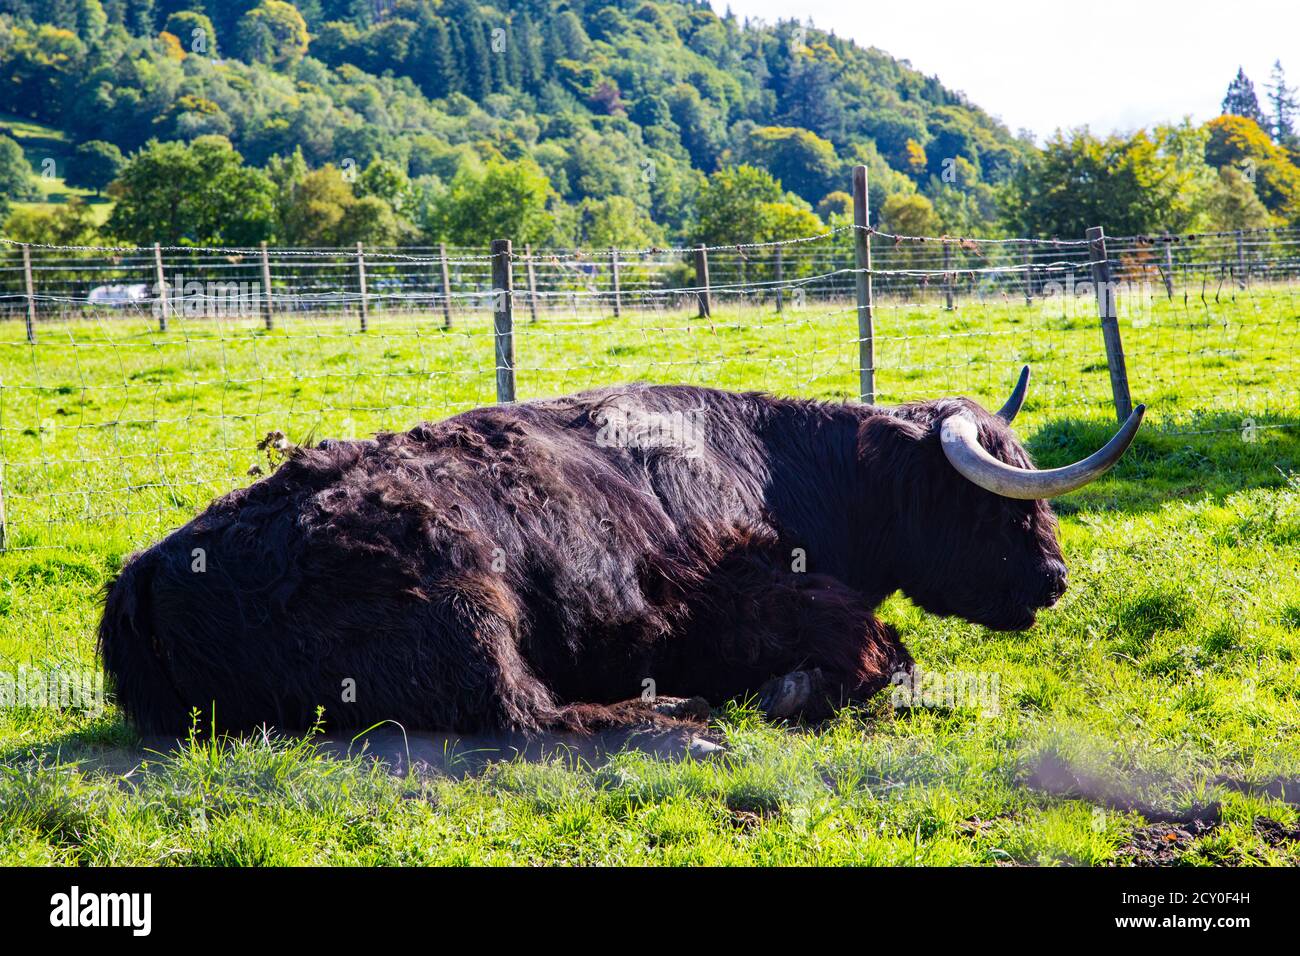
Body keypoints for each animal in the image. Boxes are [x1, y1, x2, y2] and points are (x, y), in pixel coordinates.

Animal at [98, 368, 1144, 735]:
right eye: (994, 505)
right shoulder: (751, 599)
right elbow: (888, 655)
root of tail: (152, 567)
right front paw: (788, 690)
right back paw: (679, 710)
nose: (1055, 580)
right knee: (530, 716)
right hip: (468, 617)